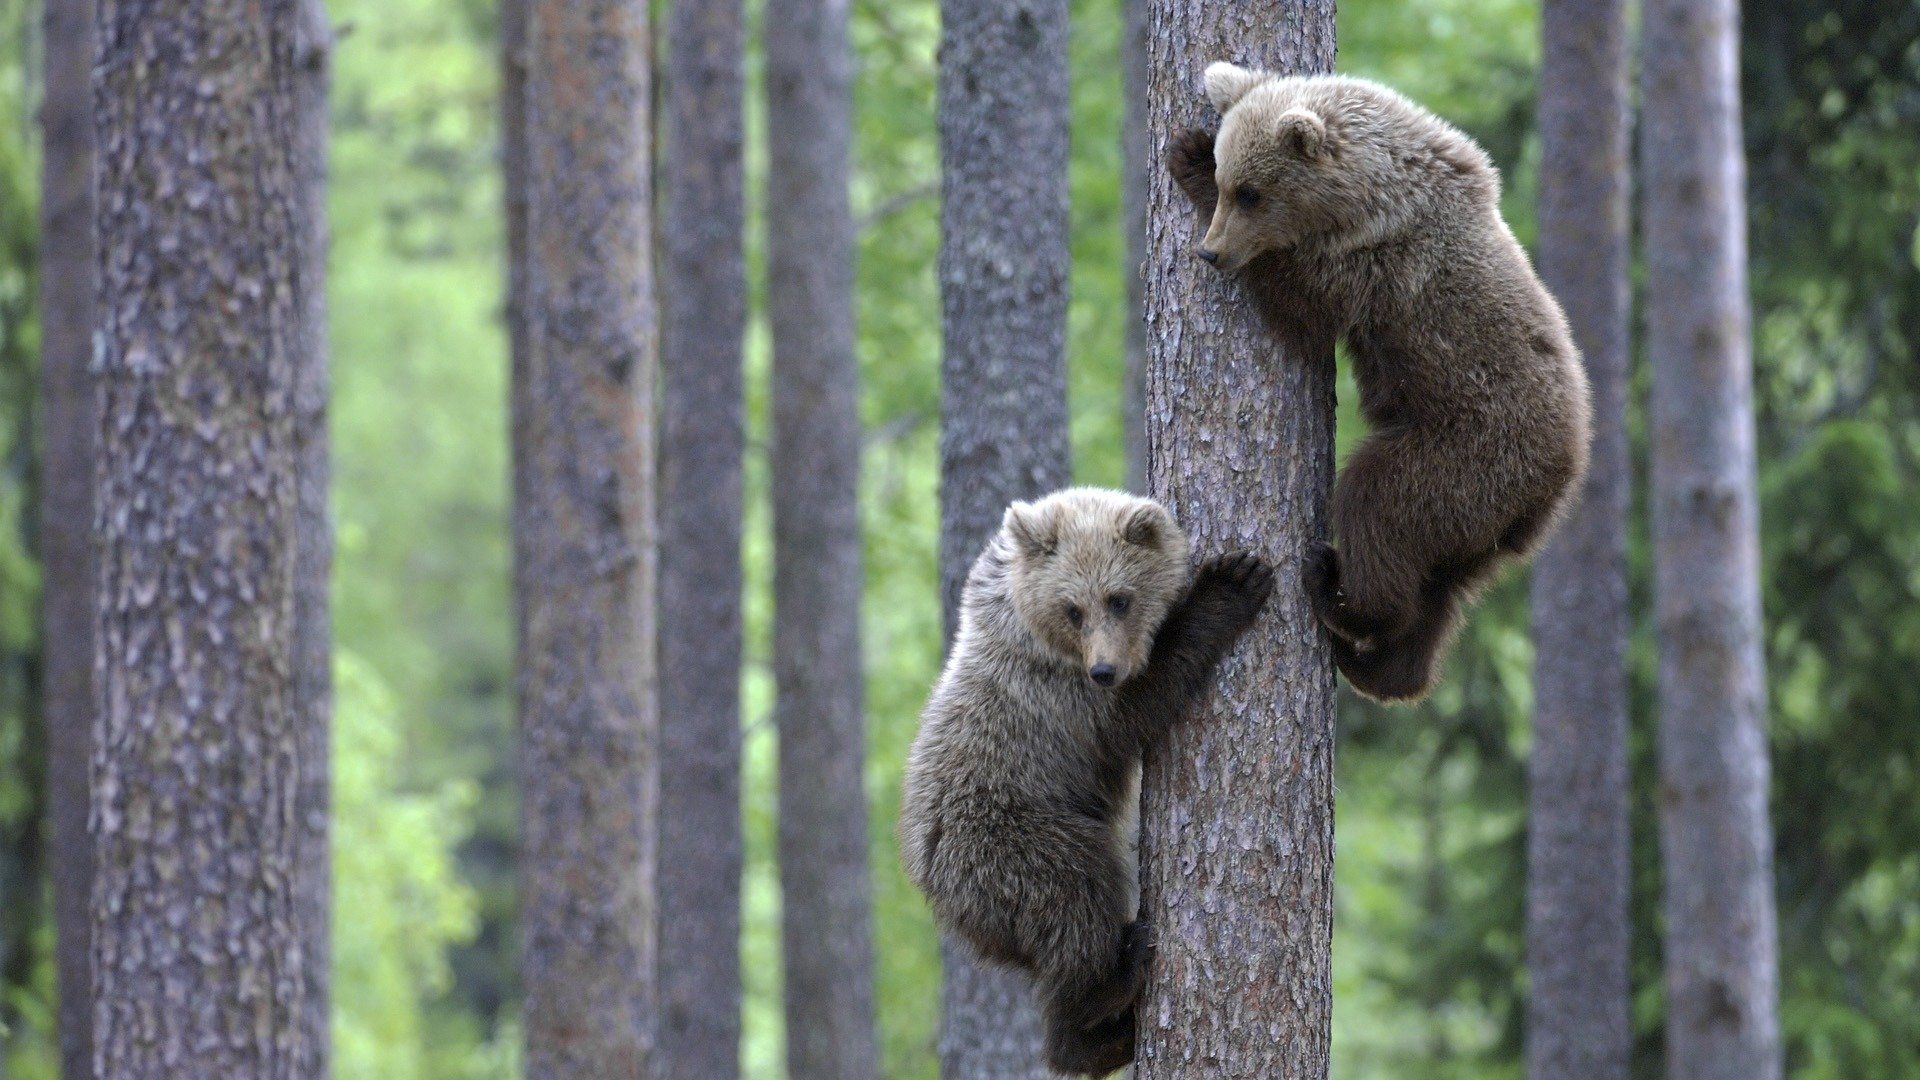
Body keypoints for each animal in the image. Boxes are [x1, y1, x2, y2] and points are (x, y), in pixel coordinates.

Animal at [899, 487, 1275, 1076]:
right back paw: (1110, 987)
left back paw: (1108, 1036)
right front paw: (1231, 582)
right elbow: (1142, 703)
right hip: (1012, 840)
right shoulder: (1062, 701)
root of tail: (931, 879)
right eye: (1073, 608)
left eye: (1119, 598)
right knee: (1078, 894)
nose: (1104, 669)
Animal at [1166, 64, 1591, 703]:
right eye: (1230, 181)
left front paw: (1185, 155)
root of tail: (1558, 480)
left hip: (1465, 455)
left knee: (1377, 505)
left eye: (1248, 192)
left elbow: (1304, 312)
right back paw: (1382, 666)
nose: (1211, 252)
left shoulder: (1377, 267)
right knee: (1440, 590)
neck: (1369, 193)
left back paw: (1336, 591)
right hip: (1479, 524)